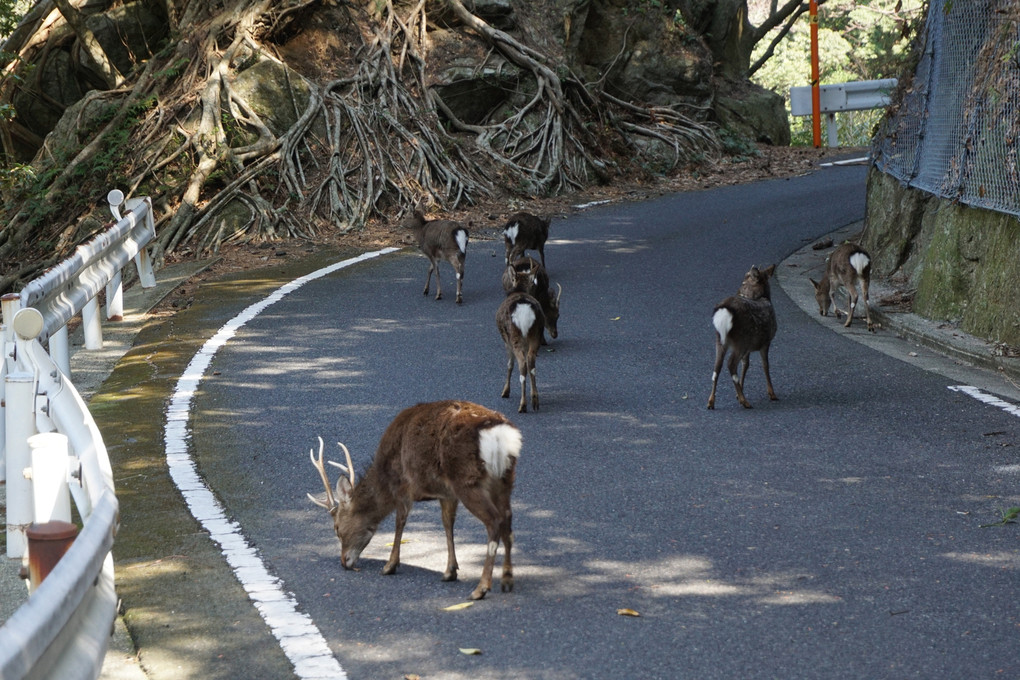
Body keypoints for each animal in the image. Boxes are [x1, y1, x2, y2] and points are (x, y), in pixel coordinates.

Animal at [303, 401, 522, 603]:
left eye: (337, 529)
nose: (344, 561)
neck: (383, 477)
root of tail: (501, 436)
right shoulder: (446, 493)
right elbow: (447, 524)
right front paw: (450, 571)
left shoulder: (402, 486)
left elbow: (400, 523)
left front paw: (389, 566)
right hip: (504, 479)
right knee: (507, 520)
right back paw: (507, 580)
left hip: (467, 480)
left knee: (494, 521)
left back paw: (481, 588)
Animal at [709, 263, 779, 409]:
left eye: (743, 281)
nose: (738, 291)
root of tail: (724, 311)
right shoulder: (766, 341)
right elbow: (765, 365)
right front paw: (772, 393)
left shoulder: (749, 348)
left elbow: (746, 365)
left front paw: (739, 391)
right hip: (740, 340)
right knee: (730, 364)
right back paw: (744, 401)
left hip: (721, 340)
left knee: (717, 367)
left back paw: (711, 401)